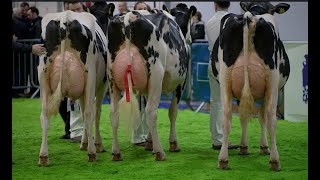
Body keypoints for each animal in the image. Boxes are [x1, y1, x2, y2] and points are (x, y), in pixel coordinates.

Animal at [37, 7, 114, 165]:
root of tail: (64, 17)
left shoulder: (81, 90)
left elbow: (83, 112)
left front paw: (84, 142)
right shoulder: (102, 85)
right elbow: (95, 113)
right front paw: (96, 144)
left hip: (43, 76)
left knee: (44, 114)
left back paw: (43, 156)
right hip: (90, 75)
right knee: (90, 112)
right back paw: (92, 152)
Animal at [106, 4, 196, 161]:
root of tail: (129, 17)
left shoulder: (147, 88)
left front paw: (149, 142)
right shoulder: (180, 83)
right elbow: (173, 112)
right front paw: (173, 143)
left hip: (112, 79)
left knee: (114, 113)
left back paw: (116, 152)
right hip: (156, 75)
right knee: (150, 112)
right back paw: (160, 152)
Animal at [211, 1, 292, 170]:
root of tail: (250, 16)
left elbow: (243, 117)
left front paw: (243, 146)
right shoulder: (265, 92)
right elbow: (261, 118)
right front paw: (264, 147)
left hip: (225, 78)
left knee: (226, 116)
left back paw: (223, 159)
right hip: (272, 80)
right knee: (271, 118)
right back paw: (275, 161)